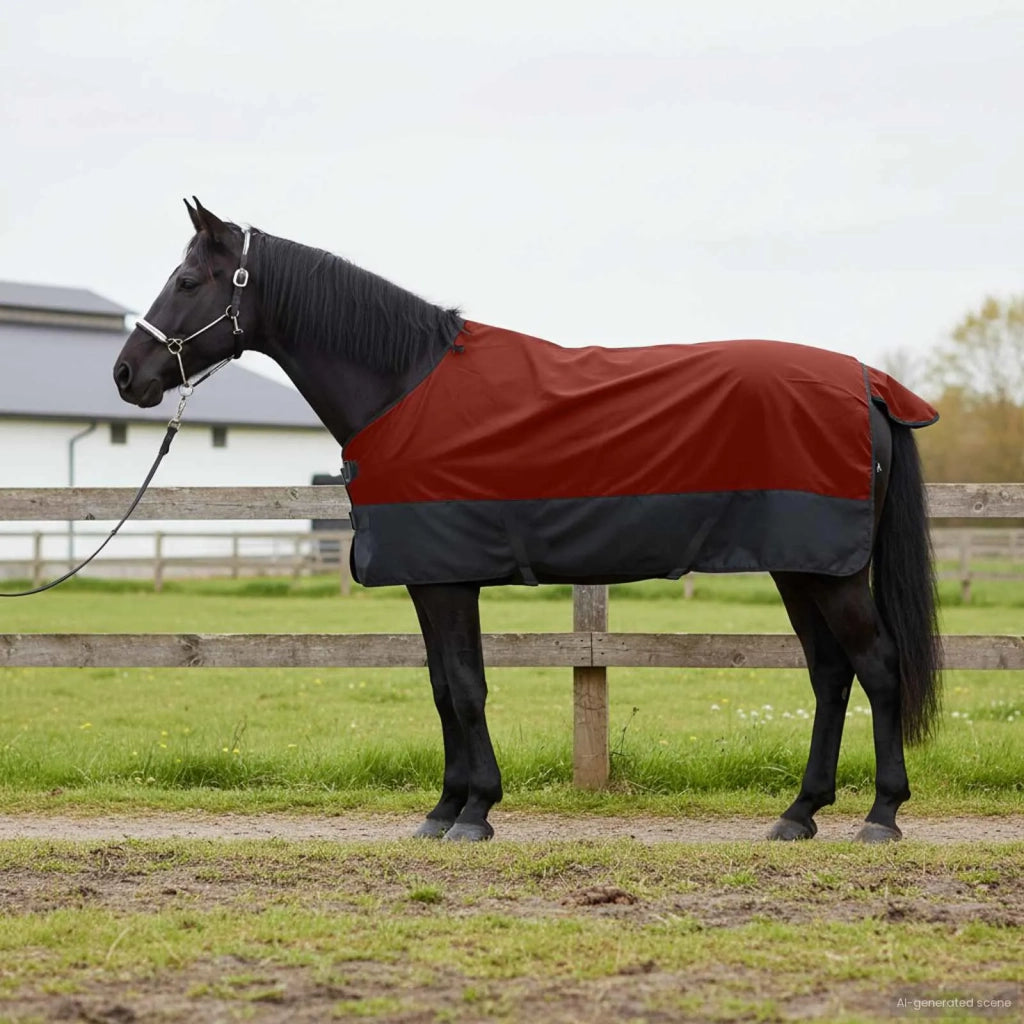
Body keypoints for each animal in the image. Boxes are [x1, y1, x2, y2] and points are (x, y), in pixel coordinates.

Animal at [113, 199, 941, 843]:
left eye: (187, 281)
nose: (126, 375)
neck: (402, 385)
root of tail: (868, 384)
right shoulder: (433, 579)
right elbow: (445, 686)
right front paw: (446, 807)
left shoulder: (446, 580)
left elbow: (465, 688)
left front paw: (474, 811)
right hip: (801, 568)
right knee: (830, 674)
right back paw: (800, 813)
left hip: (829, 572)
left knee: (877, 666)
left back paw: (881, 815)